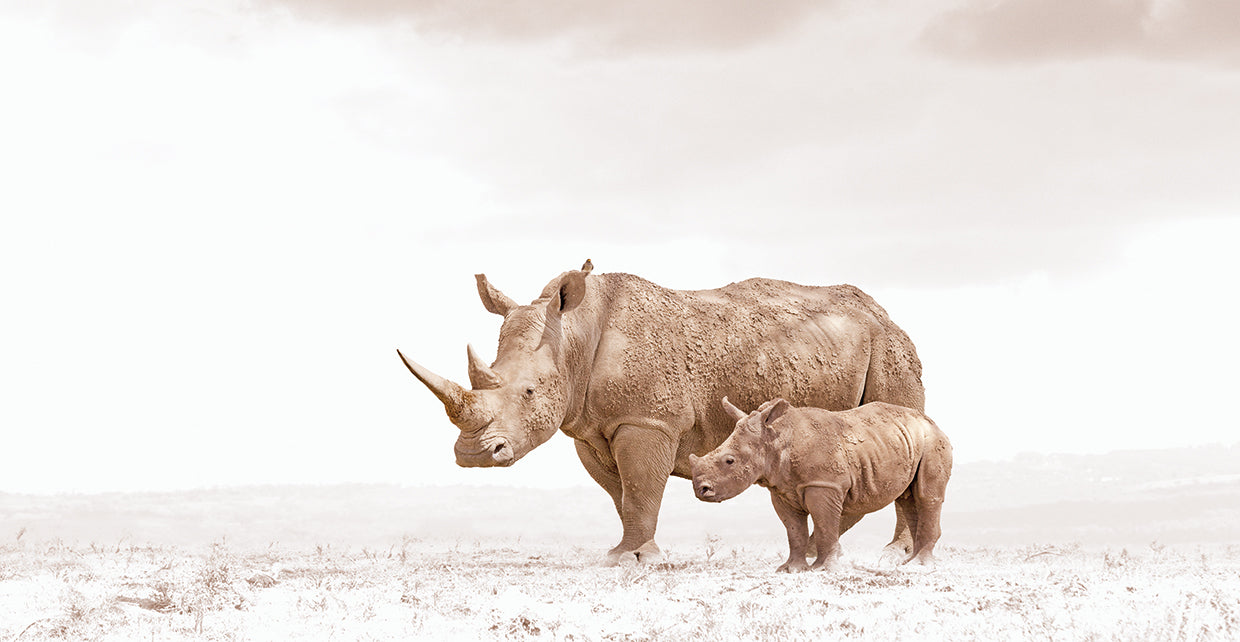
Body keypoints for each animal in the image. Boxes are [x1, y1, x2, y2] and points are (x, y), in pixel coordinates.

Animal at [397, 265, 925, 564]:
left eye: (529, 391)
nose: (473, 455)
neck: (574, 336)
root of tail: (885, 313)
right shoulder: (590, 429)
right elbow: (622, 496)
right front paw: (624, 553)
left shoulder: (647, 420)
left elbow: (639, 490)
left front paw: (636, 560)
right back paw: (824, 548)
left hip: (891, 348)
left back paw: (890, 557)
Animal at [690, 397, 952, 572]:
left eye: (729, 461)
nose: (701, 490)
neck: (776, 439)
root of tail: (933, 423)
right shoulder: (781, 490)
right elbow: (793, 530)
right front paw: (790, 569)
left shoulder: (824, 484)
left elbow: (825, 523)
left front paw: (824, 568)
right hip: (906, 441)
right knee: (908, 499)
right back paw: (909, 564)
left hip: (933, 442)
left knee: (926, 496)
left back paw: (919, 566)